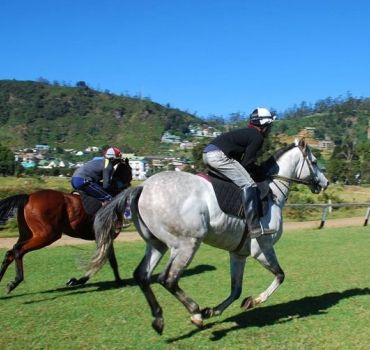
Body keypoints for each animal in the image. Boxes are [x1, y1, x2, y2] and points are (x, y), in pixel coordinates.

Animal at [0, 160, 132, 294]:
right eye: (130, 170)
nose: (131, 184)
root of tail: (28, 197)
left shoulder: (104, 237)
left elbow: (108, 260)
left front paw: (77, 281)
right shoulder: (106, 235)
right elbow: (103, 261)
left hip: (27, 233)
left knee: (10, 253)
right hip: (47, 235)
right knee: (18, 250)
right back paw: (15, 281)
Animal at [88, 139, 328, 334]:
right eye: (315, 162)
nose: (325, 183)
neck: (273, 192)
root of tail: (143, 187)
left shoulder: (238, 254)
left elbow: (236, 289)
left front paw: (216, 310)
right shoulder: (262, 249)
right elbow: (280, 275)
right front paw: (255, 300)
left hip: (157, 245)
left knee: (142, 275)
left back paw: (159, 319)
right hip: (187, 244)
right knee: (168, 278)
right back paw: (195, 313)